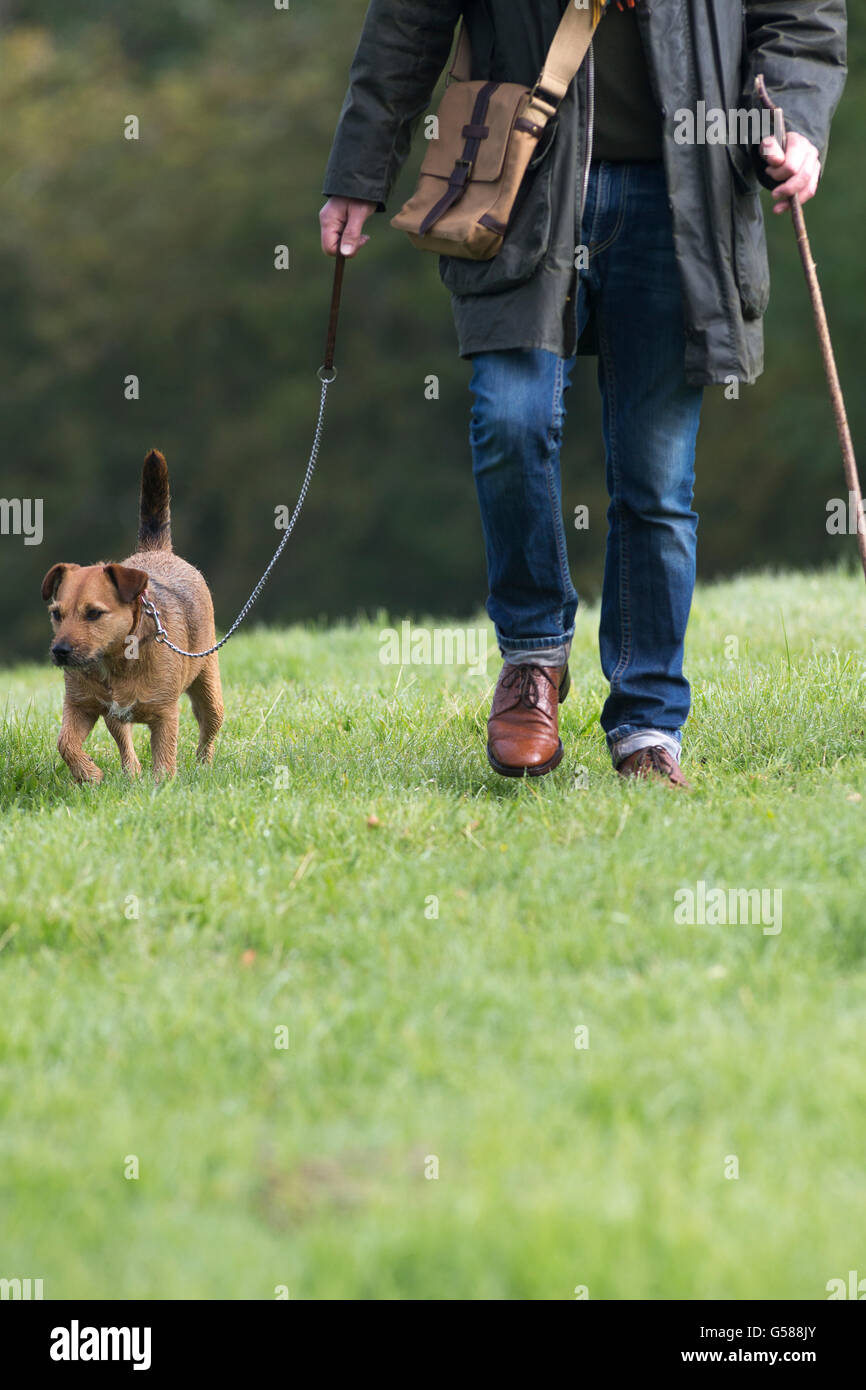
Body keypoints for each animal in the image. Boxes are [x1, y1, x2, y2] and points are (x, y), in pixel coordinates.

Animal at [44, 453, 223, 783]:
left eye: (94, 613)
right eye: (56, 614)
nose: (60, 651)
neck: (116, 662)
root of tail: (157, 550)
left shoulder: (165, 714)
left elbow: (164, 757)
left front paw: (162, 787)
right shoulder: (80, 706)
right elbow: (66, 743)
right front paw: (89, 774)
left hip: (208, 686)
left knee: (210, 726)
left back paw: (203, 766)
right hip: (115, 717)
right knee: (124, 741)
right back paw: (131, 774)